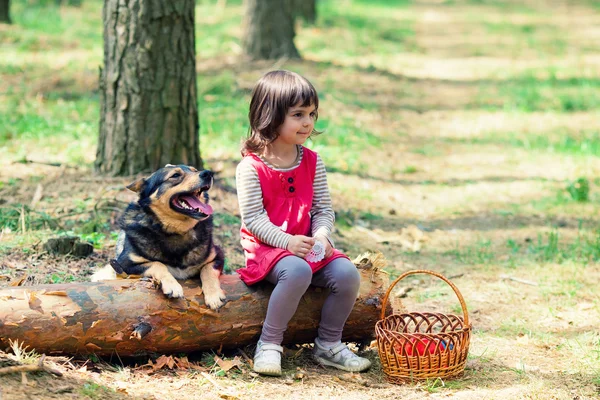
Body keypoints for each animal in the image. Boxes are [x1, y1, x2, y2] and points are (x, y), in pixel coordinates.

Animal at [90, 164, 226, 310]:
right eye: (175, 175)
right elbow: (157, 264)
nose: (208, 173)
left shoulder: (217, 255)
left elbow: (207, 270)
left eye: (195, 170)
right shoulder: (124, 264)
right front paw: (172, 285)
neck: (176, 232)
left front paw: (214, 294)